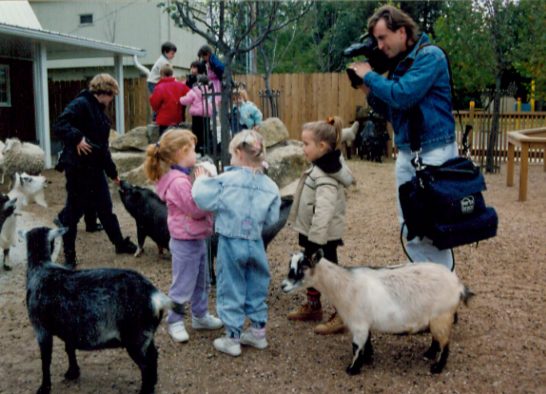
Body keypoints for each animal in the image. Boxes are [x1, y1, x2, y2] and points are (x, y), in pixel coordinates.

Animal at [22, 226, 182, 394]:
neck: (41, 269)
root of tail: (155, 296)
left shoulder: (41, 328)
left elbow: (45, 359)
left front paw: (44, 387)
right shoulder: (69, 328)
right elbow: (69, 348)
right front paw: (72, 372)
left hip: (135, 337)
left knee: (146, 365)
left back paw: (145, 390)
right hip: (146, 335)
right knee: (154, 356)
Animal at [280, 249, 472, 376]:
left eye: (303, 267)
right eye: (290, 266)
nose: (283, 286)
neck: (345, 284)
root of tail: (459, 285)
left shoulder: (358, 324)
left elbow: (356, 346)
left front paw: (352, 369)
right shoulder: (365, 324)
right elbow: (366, 343)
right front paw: (366, 359)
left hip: (442, 317)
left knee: (445, 344)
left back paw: (437, 368)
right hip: (436, 318)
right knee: (436, 339)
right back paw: (429, 354)